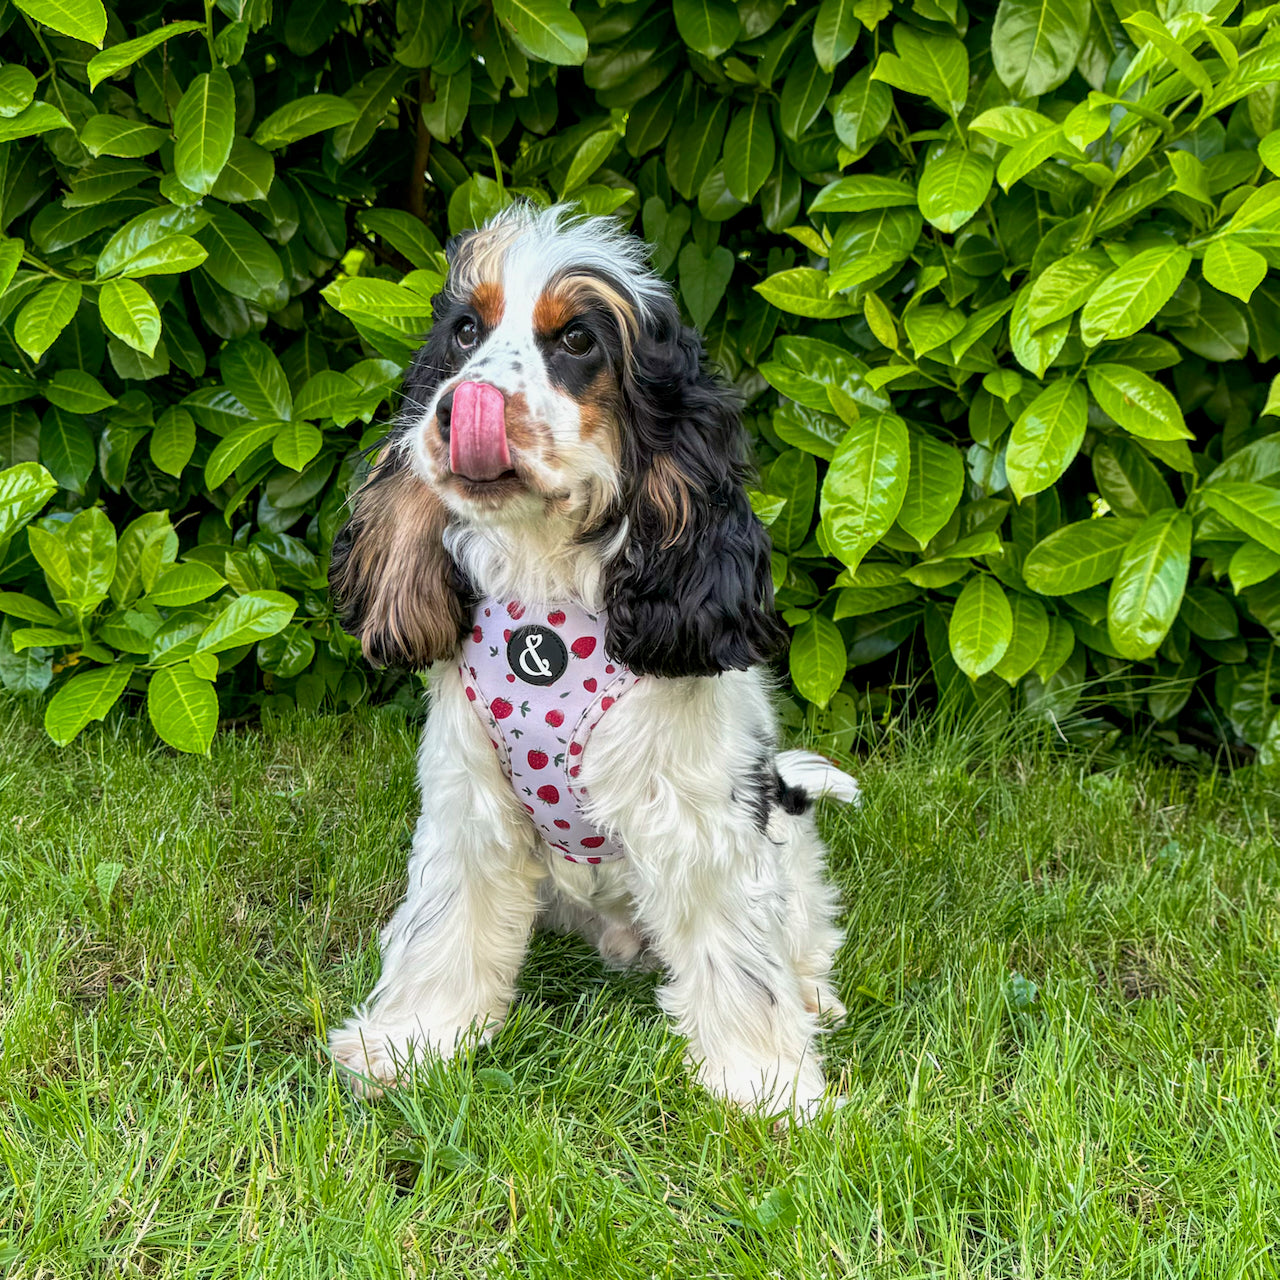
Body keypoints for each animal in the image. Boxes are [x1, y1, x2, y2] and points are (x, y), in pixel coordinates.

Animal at [327, 202, 860, 1121]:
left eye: (576, 339)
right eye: (464, 332)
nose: (458, 408)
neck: (542, 585)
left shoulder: (701, 823)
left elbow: (739, 962)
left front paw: (765, 1087)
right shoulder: (469, 804)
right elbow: (445, 928)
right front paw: (410, 1043)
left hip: (785, 844)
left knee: (802, 932)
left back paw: (813, 996)